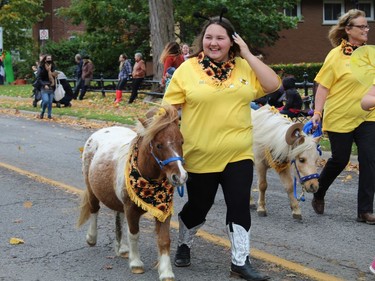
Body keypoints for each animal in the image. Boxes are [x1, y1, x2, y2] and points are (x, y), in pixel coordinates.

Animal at [77, 105, 188, 280]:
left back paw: (122, 248)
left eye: (181, 142)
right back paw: (91, 238)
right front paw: (136, 263)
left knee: (118, 217)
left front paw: (166, 271)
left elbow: (164, 239)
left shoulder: (164, 211)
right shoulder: (131, 209)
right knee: (94, 209)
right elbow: (134, 234)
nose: (180, 176)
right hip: (91, 188)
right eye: (159, 145)